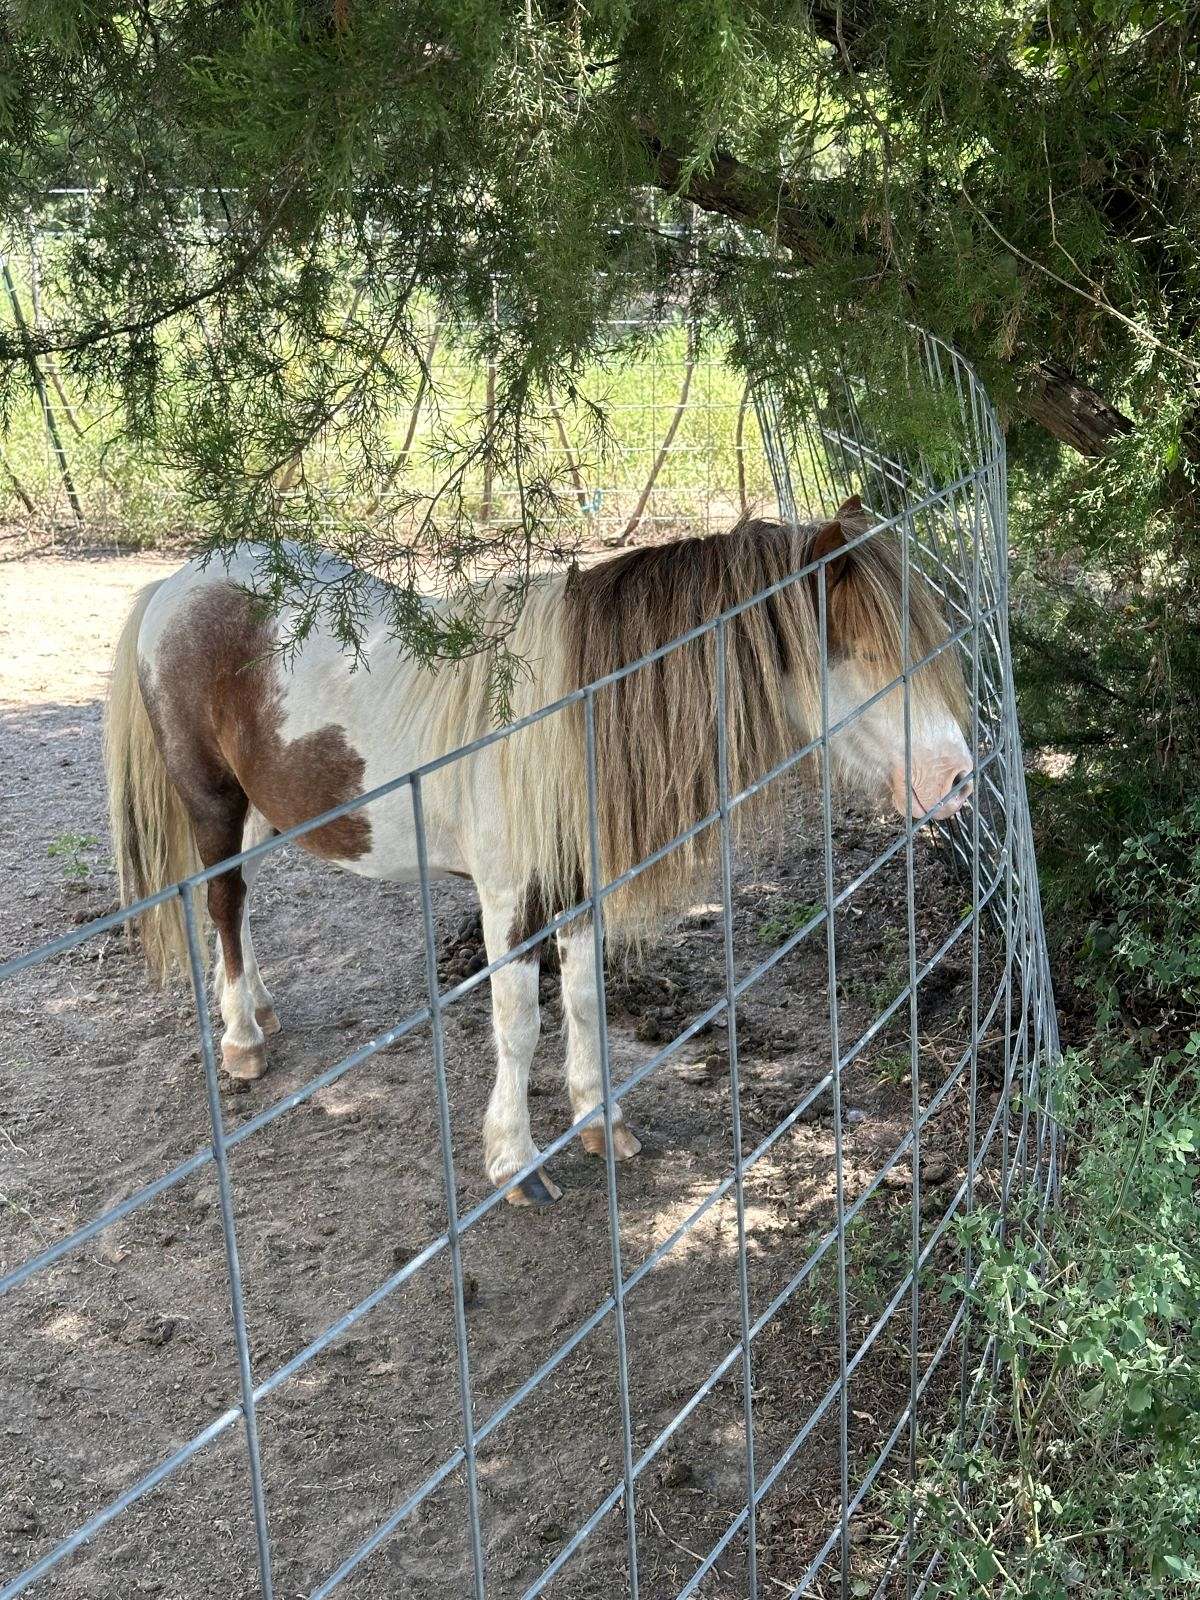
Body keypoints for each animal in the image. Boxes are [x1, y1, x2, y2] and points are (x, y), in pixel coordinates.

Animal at [104, 496, 971, 1206]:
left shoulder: (577, 885)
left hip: (261, 810)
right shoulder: (510, 900)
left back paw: (258, 1007)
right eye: (861, 649)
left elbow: (584, 1000)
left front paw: (600, 1122)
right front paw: (515, 1163)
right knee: (223, 901)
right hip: (212, 801)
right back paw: (241, 1041)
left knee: (239, 902)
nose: (957, 778)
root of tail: (177, 583)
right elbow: (517, 1024)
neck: (572, 718)